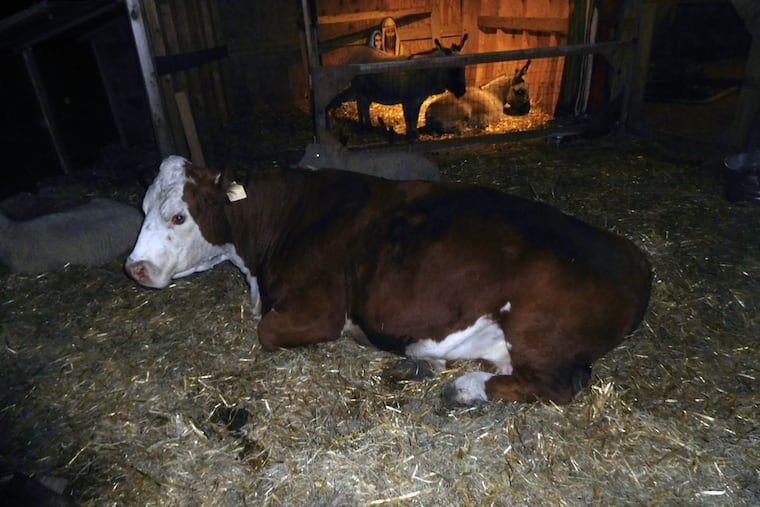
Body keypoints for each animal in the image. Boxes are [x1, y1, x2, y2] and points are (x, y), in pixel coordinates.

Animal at [125, 156, 652, 405]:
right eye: (143, 207)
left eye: (177, 216)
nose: (134, 268)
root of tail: (633, 258)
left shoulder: (318, 311)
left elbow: (266, 331)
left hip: (536, 328)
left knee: (554, 387)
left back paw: (461, 389)